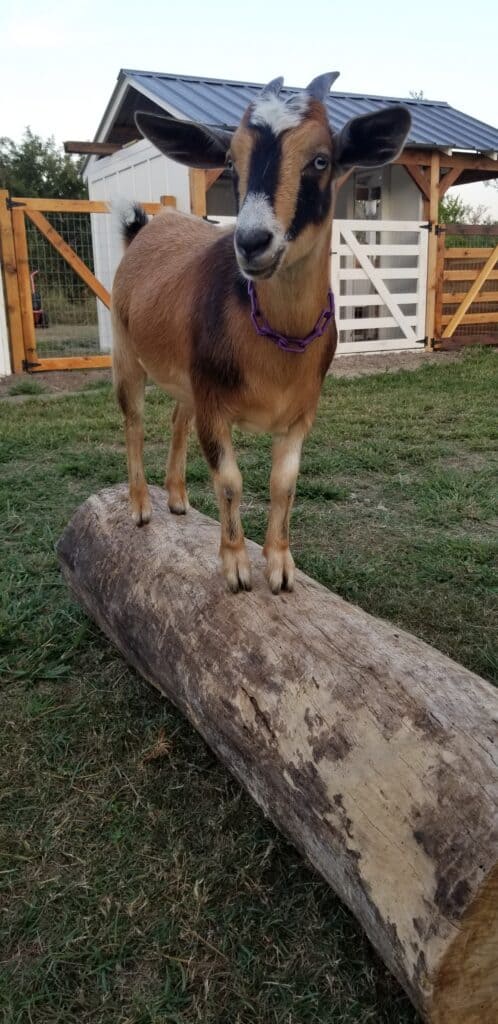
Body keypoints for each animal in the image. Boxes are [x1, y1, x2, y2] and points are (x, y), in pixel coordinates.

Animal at [112, 72, 411, 593]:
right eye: (231, 163)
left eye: (321, 159)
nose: (252, 242)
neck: (277, 346)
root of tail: (144, 229)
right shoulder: (214, 404)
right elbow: (230, 481)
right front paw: (235, 568)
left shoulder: (299, 413)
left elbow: (284, 485)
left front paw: (281, 567)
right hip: (126, 350)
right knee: (134, 420)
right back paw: (142, 507)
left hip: (186, 376)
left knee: (176, 417)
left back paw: (177, 499)